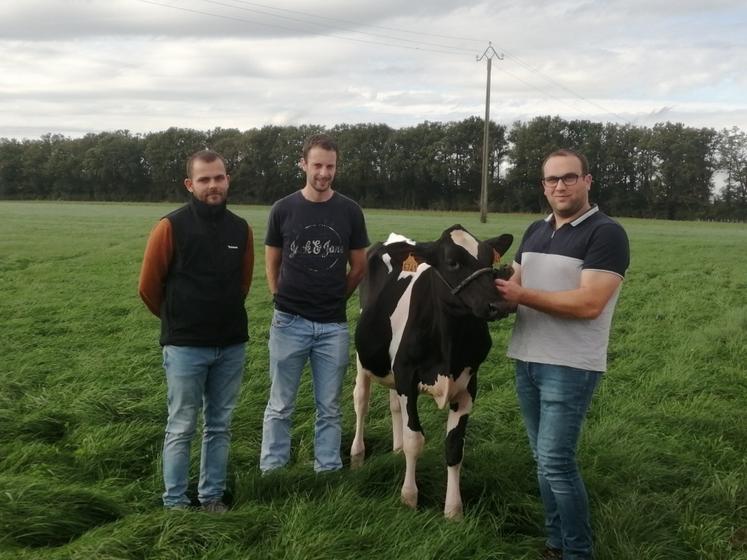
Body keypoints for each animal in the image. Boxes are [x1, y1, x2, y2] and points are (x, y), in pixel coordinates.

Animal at [350, 224, 516, 520]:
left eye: (489, 259)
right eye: (452, 262)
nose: (500, 305)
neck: (449, 341)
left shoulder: (468, 385)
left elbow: (454, 446)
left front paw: (453, 510)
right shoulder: (407, 376)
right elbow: (415, 439)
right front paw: (409, 497)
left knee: (394, 405)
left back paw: (396, 449)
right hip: (364, 357)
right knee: (361, 400)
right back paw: (357, 454)